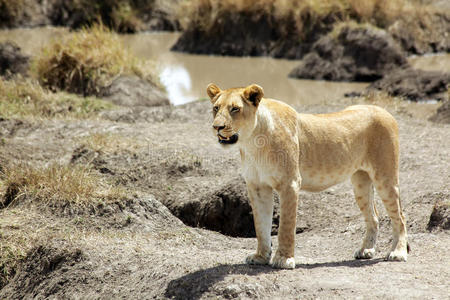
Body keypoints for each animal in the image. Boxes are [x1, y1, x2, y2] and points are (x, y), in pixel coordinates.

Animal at [207, 82, 408, 270]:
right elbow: (261, 225)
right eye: (216, 108)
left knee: (399, 216)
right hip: (360, 182)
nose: (217, 127)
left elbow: (286, 226)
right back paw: (366, 250)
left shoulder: (290, 183)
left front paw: (284, 259)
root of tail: (384, 111)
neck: (252, 143)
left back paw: (398, 252)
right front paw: (261, 257)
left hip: (385, 177)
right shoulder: (257, 186)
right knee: (373, 216)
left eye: (235, 109)